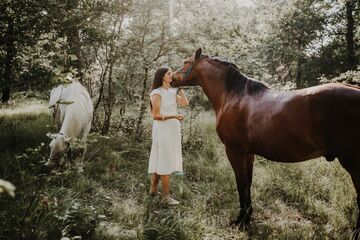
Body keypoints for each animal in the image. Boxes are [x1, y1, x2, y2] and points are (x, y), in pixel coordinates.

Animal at [172, 48, 360, 232]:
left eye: (186, 63)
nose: (172, 78)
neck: (233, 96)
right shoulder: (248, 154)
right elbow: (247, 184)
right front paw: (247, 218)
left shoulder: (234, 152)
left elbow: (241, 184)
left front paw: (240, 221)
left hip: (352, 163)